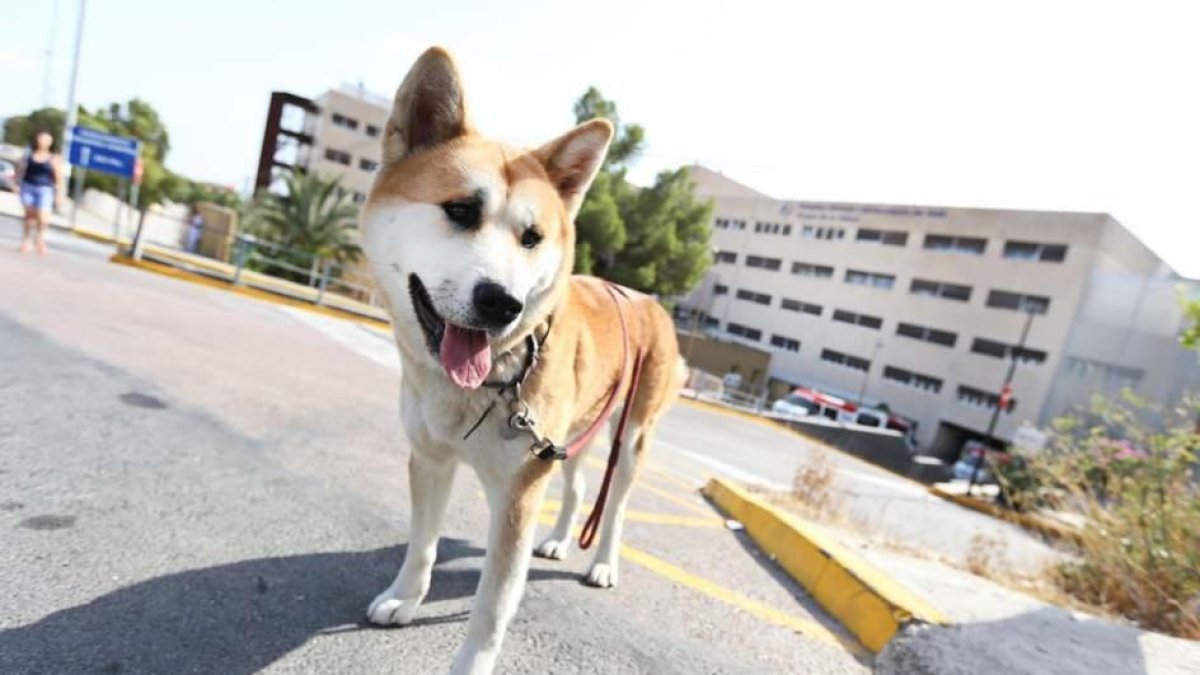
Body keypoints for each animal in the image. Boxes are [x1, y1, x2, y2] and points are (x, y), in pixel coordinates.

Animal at [357, 48, 686, 672]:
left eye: (532, 237)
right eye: (460, 210)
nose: (502, 302)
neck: (489, 382)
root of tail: (648, 297)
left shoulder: (517, 493)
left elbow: (494, 602)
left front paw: (471, 662)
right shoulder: (431, 459)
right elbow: (422, 546)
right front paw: (403, 598)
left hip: (631, 439)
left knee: (614, 507)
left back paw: (602, 564)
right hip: (575, 432)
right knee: (580, 488)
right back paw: (557, 540)